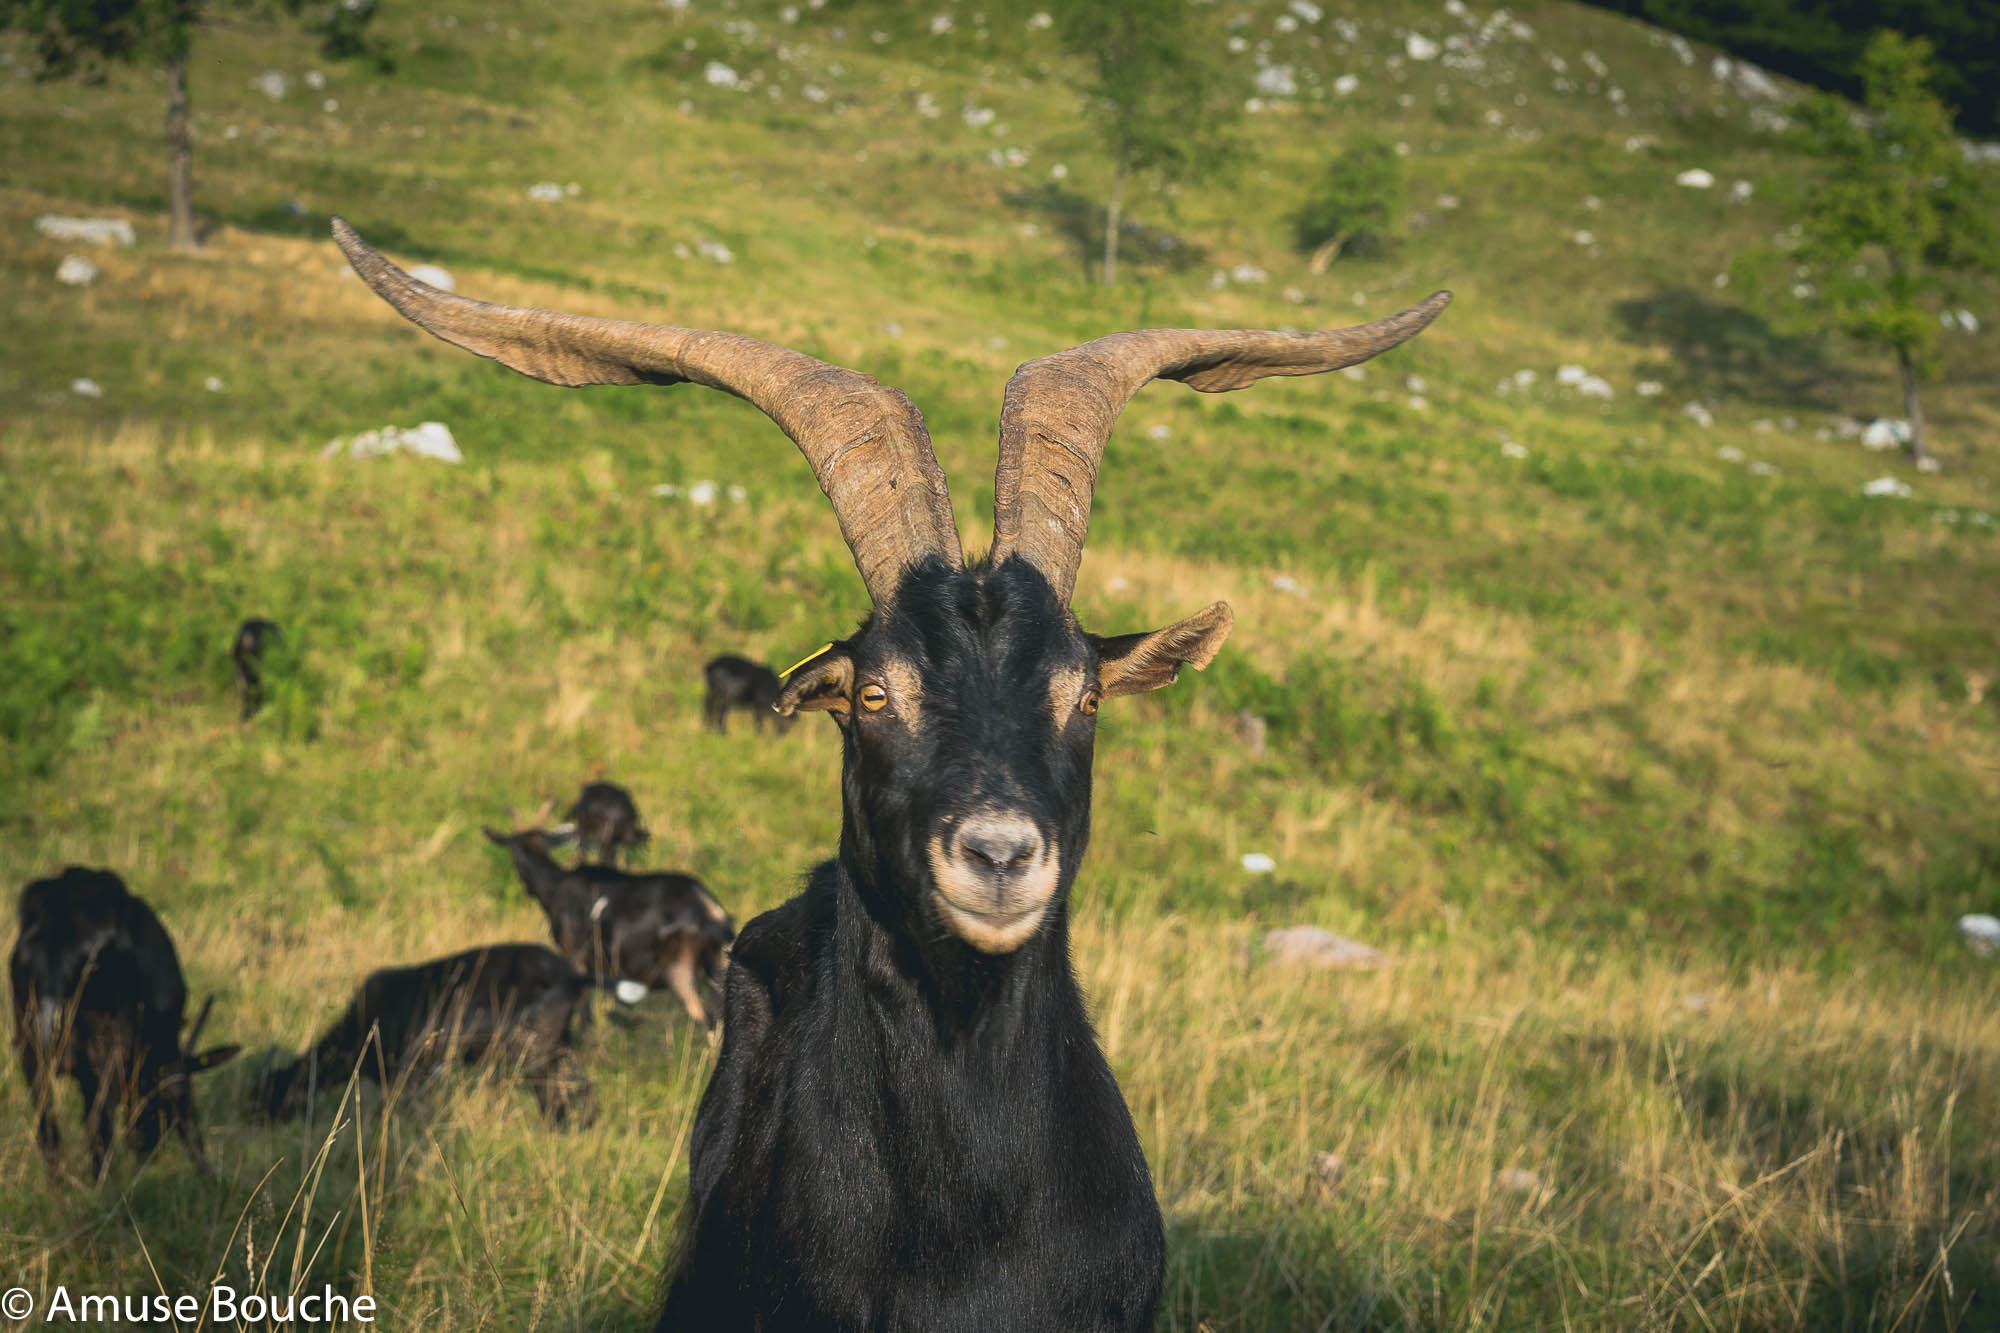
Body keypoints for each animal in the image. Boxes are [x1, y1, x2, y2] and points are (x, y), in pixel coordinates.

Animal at [10, 868, 242, 1176]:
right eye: (161, 1103)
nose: (148, 1144)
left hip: (31, 1046)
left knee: (49, 1130)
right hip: (106, 1051)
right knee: (97, 1124)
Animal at [254, 940, 592, 1128]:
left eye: (272, 1094)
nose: (253, 1121)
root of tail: (572, 975)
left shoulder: (414, 1074)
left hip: (536, 1053)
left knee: (555, 1098)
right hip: (559, 1048)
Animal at [484, 820, 736, 1024]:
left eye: (514, 853)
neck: (556, 887)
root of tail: (709, 907)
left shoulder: (574, 955)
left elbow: (583, 1007)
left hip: (679, 969)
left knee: (706, 1018)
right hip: (715, 965)